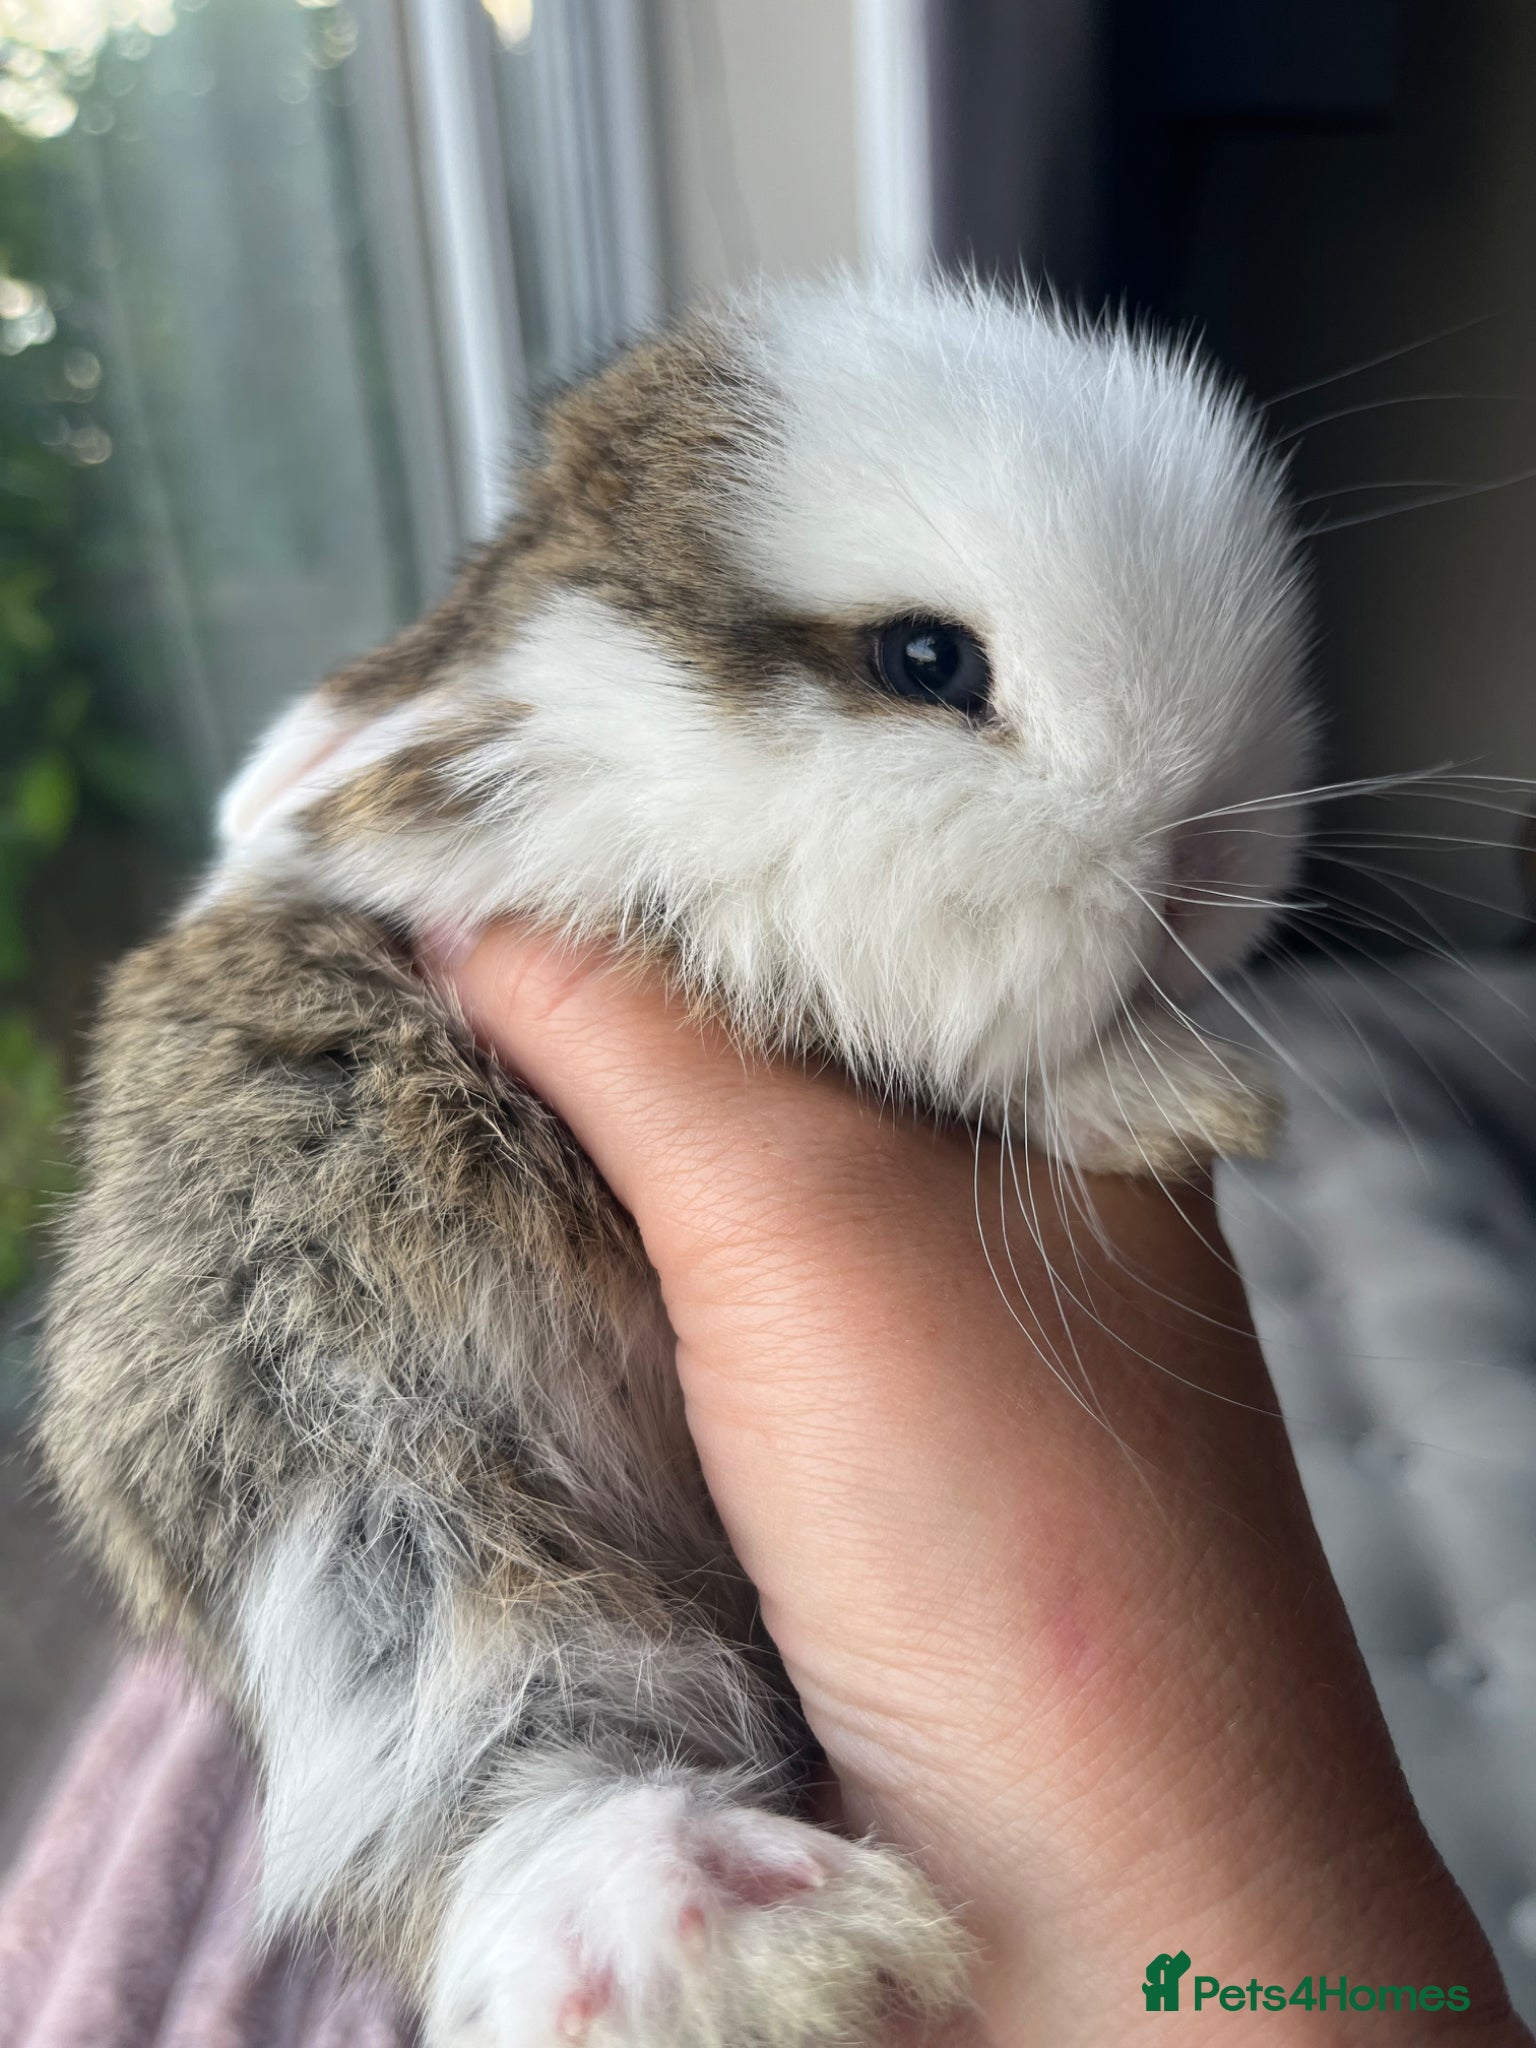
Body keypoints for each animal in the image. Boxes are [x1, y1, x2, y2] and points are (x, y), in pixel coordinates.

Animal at [38, 275, 1314, 2047]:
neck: (641, 749)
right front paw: (1178, 1092)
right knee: (481, 1742)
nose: (1213, 860)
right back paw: (722, 1930)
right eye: (928, 659)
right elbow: (922, 1036)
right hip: (352, 1467)